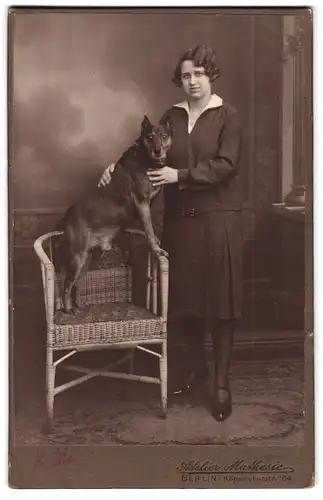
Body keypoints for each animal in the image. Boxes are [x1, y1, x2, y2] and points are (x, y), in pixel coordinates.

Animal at [57, 115, 173, 314]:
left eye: (164, 136)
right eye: (150, 136)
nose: (158, 151)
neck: (145, 158)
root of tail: (67, 216)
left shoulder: (150, 202)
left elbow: (150, 227)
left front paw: (157, 242)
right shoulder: (142, 202)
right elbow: (148, 228)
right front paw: (157, 249)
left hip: (90, 257)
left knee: (78, 283)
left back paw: (79, 304)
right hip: (77, 256)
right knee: (67, 284)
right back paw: (68, 309)